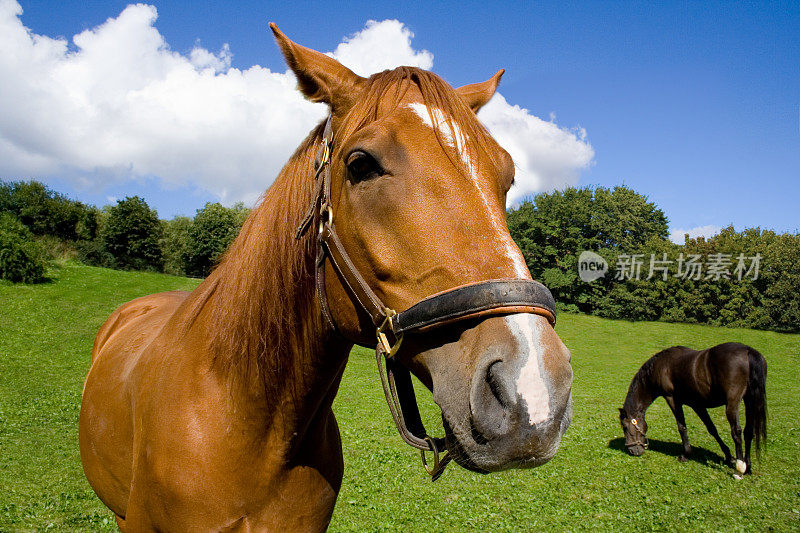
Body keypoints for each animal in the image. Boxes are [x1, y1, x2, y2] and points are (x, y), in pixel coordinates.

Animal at [616, 342, 764, 472]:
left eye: (625, 427)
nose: (632, 450)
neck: (662, 367)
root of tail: (747, 351)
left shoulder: (672, 399)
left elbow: (681, 427)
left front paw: (686, 454)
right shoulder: (697, 405)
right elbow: (712, 429)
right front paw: (728, 456)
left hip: (732, 404)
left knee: (736, 431)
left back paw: (740, 467)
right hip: (749, 400)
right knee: (748, 431)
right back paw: (747, 465)